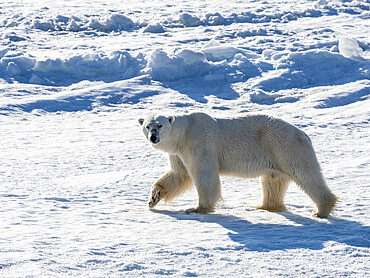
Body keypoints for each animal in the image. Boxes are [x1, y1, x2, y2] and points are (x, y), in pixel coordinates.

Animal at [139, 112, 338, 217]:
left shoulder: (200, 144)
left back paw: (321, 210)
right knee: (272, 181)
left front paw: (197, 209)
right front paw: (153, 198)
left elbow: (204, 176)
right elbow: (179, 175)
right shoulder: (178, 154)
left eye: (160, 125)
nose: (153, 137)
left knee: (305, 175)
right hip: (275, 156)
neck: (185, 133)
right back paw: (264, 206)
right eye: (147, 126)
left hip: (285, 148)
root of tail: (303, 134)